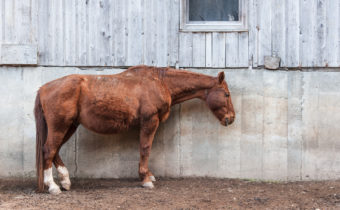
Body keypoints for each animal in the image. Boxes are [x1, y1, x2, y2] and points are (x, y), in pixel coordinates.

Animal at [35, 65, 236, 194]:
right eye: (226, 94)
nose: (231, 118)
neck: (160, 82)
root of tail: (43, 88)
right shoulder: (149, 121)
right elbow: (145, 148)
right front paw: (145, 179)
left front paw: (148, 175)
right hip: (60, 125)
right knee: (49, 150)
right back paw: (53, 186)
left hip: (70, 125)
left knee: (54, 150)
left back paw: (65, 181)